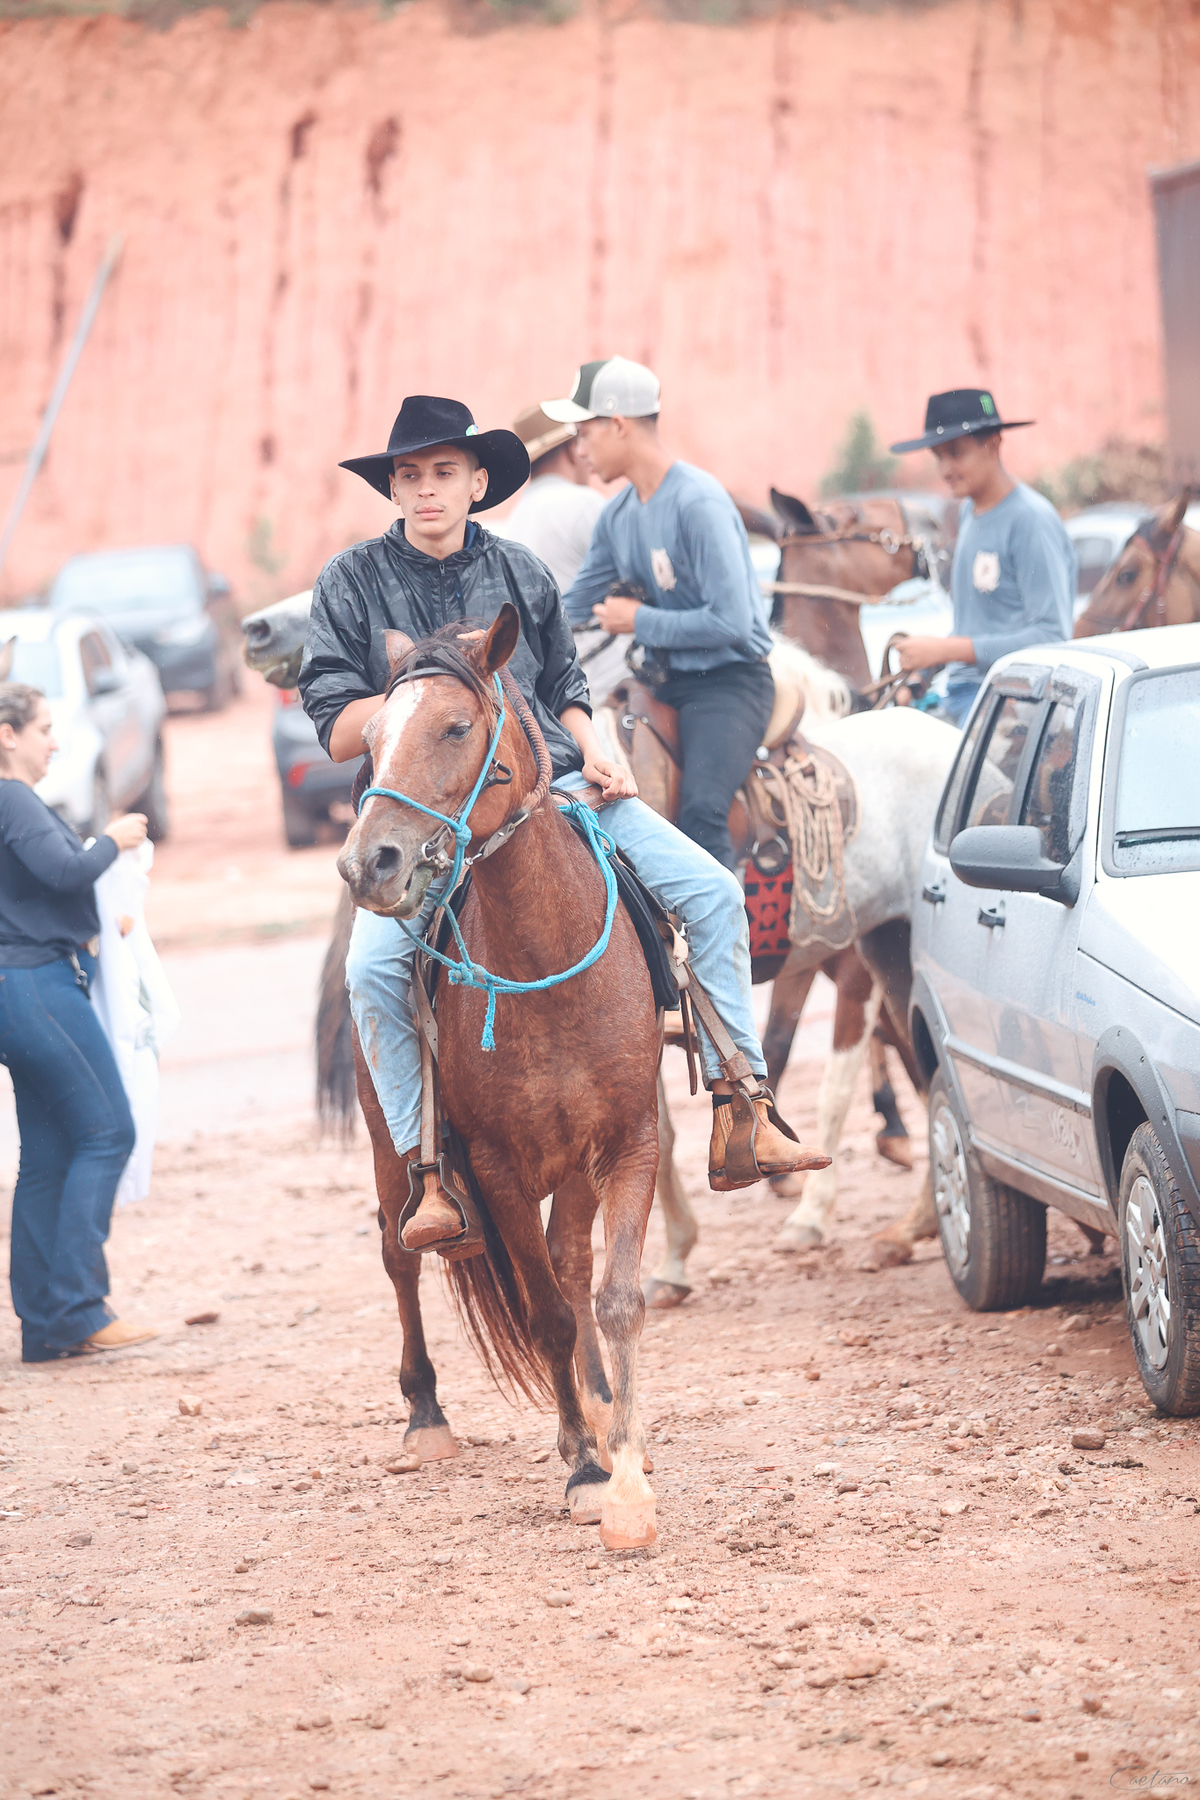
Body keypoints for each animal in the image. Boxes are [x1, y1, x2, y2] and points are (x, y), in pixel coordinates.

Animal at [336, 607, 661, 1550]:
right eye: (369, 737)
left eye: (454, 727)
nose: (370, 863)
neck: (547, 965)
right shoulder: (496, 1166)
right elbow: (545, 1313)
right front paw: (587, 1471)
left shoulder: (628, 1143)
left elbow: (611, 1297)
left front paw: (624, 1468)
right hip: (390, 1151)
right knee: (399, 1256)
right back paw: (426, 1417)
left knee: (569, 1263)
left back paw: (596, 1399)